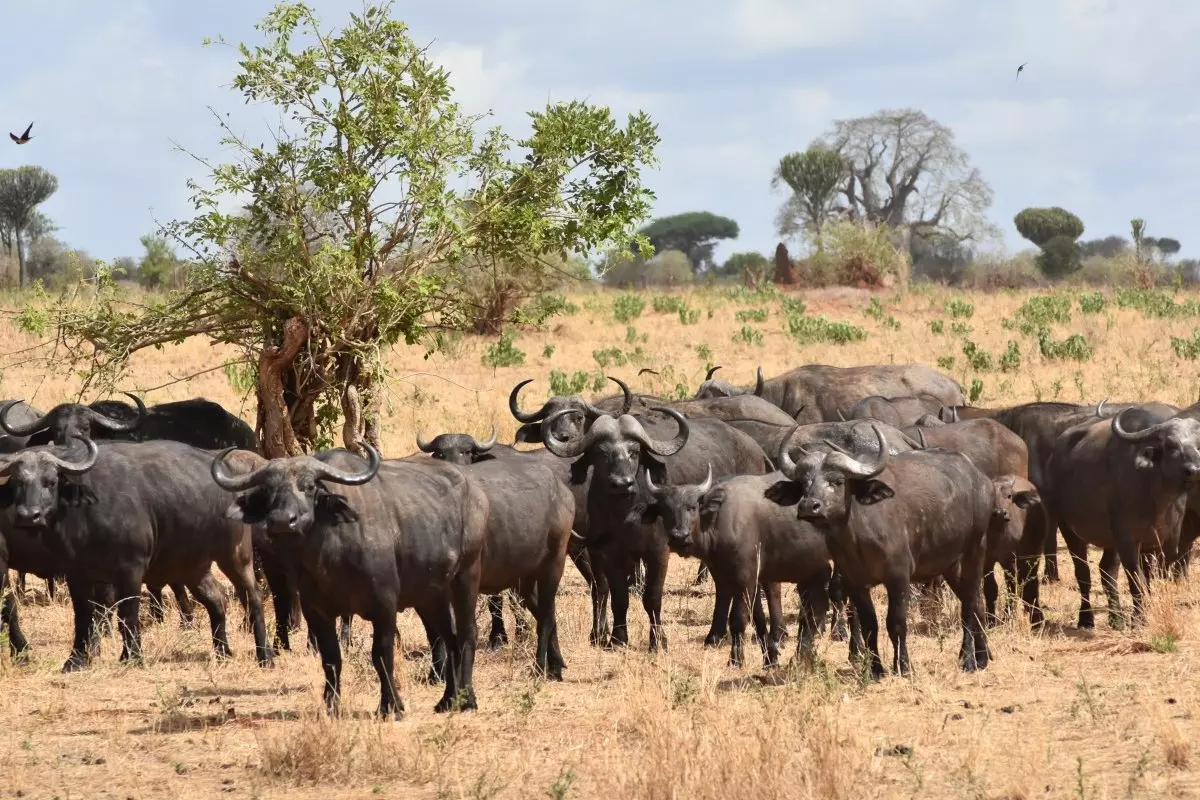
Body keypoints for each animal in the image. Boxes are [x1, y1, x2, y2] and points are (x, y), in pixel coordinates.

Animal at [0, 437, 272, 672]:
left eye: (51, 482)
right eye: (17, 483)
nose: (28, 516)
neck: (85, 516)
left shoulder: (130, 569)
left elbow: (127, 614)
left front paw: (132, 656)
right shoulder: (76, 574)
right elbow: (83, 616)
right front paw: (75, 660)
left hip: (235, 555)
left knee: (253, 597)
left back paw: (265, 655)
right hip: (193, 566)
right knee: (217, 599)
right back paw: (222, 652)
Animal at [211, 443, 489, 718]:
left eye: (309, 486)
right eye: (269, 491)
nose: (282, 521)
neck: (330, 555)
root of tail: (475, 493)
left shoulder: (385, 606)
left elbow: (381, 655)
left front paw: (390, 706)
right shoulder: (316, 611)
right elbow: (331, 658)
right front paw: (331, 706)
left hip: (466, 577)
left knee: (466, 634)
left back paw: (469, 699)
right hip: (432, 595)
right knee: (450, 638)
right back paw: (448, 699)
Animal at [768, 426, 994, 678]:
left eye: (838, 480)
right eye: (804, 483)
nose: (809, 506)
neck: (856, 537)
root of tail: (980, 479)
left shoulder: (898, 577)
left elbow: (895, 622)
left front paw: (903, 666)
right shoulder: (854, 582)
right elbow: (870, 624)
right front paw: (876, 669)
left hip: (975, 550)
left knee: (970, 605)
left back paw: (969, 660)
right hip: (950, 564)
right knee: (976, 603)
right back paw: (982, 656)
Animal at [1042, 409, 1200, 628]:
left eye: (1198, 443)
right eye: (1171, 444)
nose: (1194, 470)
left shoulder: (1166, 541)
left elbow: (1151, 578)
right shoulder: (1127, 541)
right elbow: (1137, 579)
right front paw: (1139, 619)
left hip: (1110, 541)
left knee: (1107, 571)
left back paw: (1116, 618)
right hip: (1067, 527)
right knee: (1083, 573)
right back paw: (1086, 618)